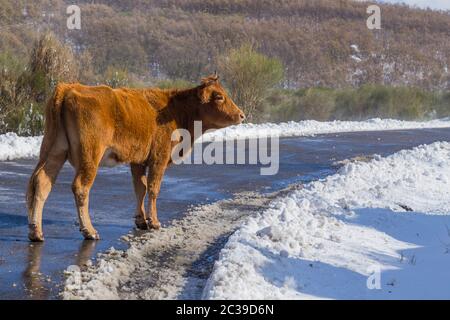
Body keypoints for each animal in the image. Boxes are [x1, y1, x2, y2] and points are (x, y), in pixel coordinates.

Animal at [26, 75, 244, 240]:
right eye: (219, 96)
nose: (241, 115)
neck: (175, 110)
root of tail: (69, 88)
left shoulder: (138, 161)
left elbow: (140, 188)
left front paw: (141, 220)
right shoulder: (159, 158)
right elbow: (153, 189)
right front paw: (154, 222)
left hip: (54, 150)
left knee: (42, 182)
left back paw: (36, 232)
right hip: (90, 157)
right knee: (81, 187)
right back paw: (89, 231)